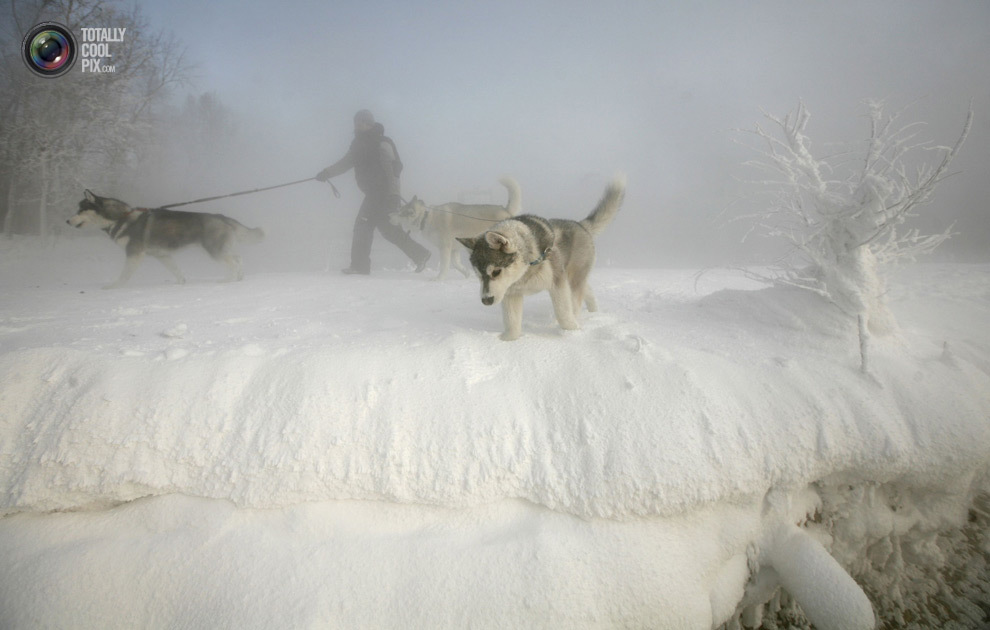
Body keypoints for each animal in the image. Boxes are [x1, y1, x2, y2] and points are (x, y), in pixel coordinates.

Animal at [67, 189, 266, 290]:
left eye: (80, 210)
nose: (67, 221)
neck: (120, 217)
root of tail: (222, 216)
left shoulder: (134, 254)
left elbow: (124, 275)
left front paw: (114, 286)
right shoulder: (162, 255)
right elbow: (176, 270)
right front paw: (180, 283)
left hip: (214, 250)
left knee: (233, 261)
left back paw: (228, 280)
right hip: (220, 248)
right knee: (238, 259)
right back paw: (238, 278)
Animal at [390, 174, 524, 280]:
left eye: (399, 213)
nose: (388, 215)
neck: (426, 218)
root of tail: (505, 209)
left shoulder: (445, 247)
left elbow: (444, 266)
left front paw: (439, 279)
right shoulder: (454, 249)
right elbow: (456, 264)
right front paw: (466, 273)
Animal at [460, 175, 628, 344]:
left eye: (496, 272)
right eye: (478, 275)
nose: (486, 300)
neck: (527, 268)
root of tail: (580, 225)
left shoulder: (558, 283)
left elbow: (563, 313)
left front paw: (572, 333)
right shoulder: (511, 293)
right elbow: (511, 322)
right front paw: (508, 341)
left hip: (573, 277)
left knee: (576, 299)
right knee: (587, 290)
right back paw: (593, 312)